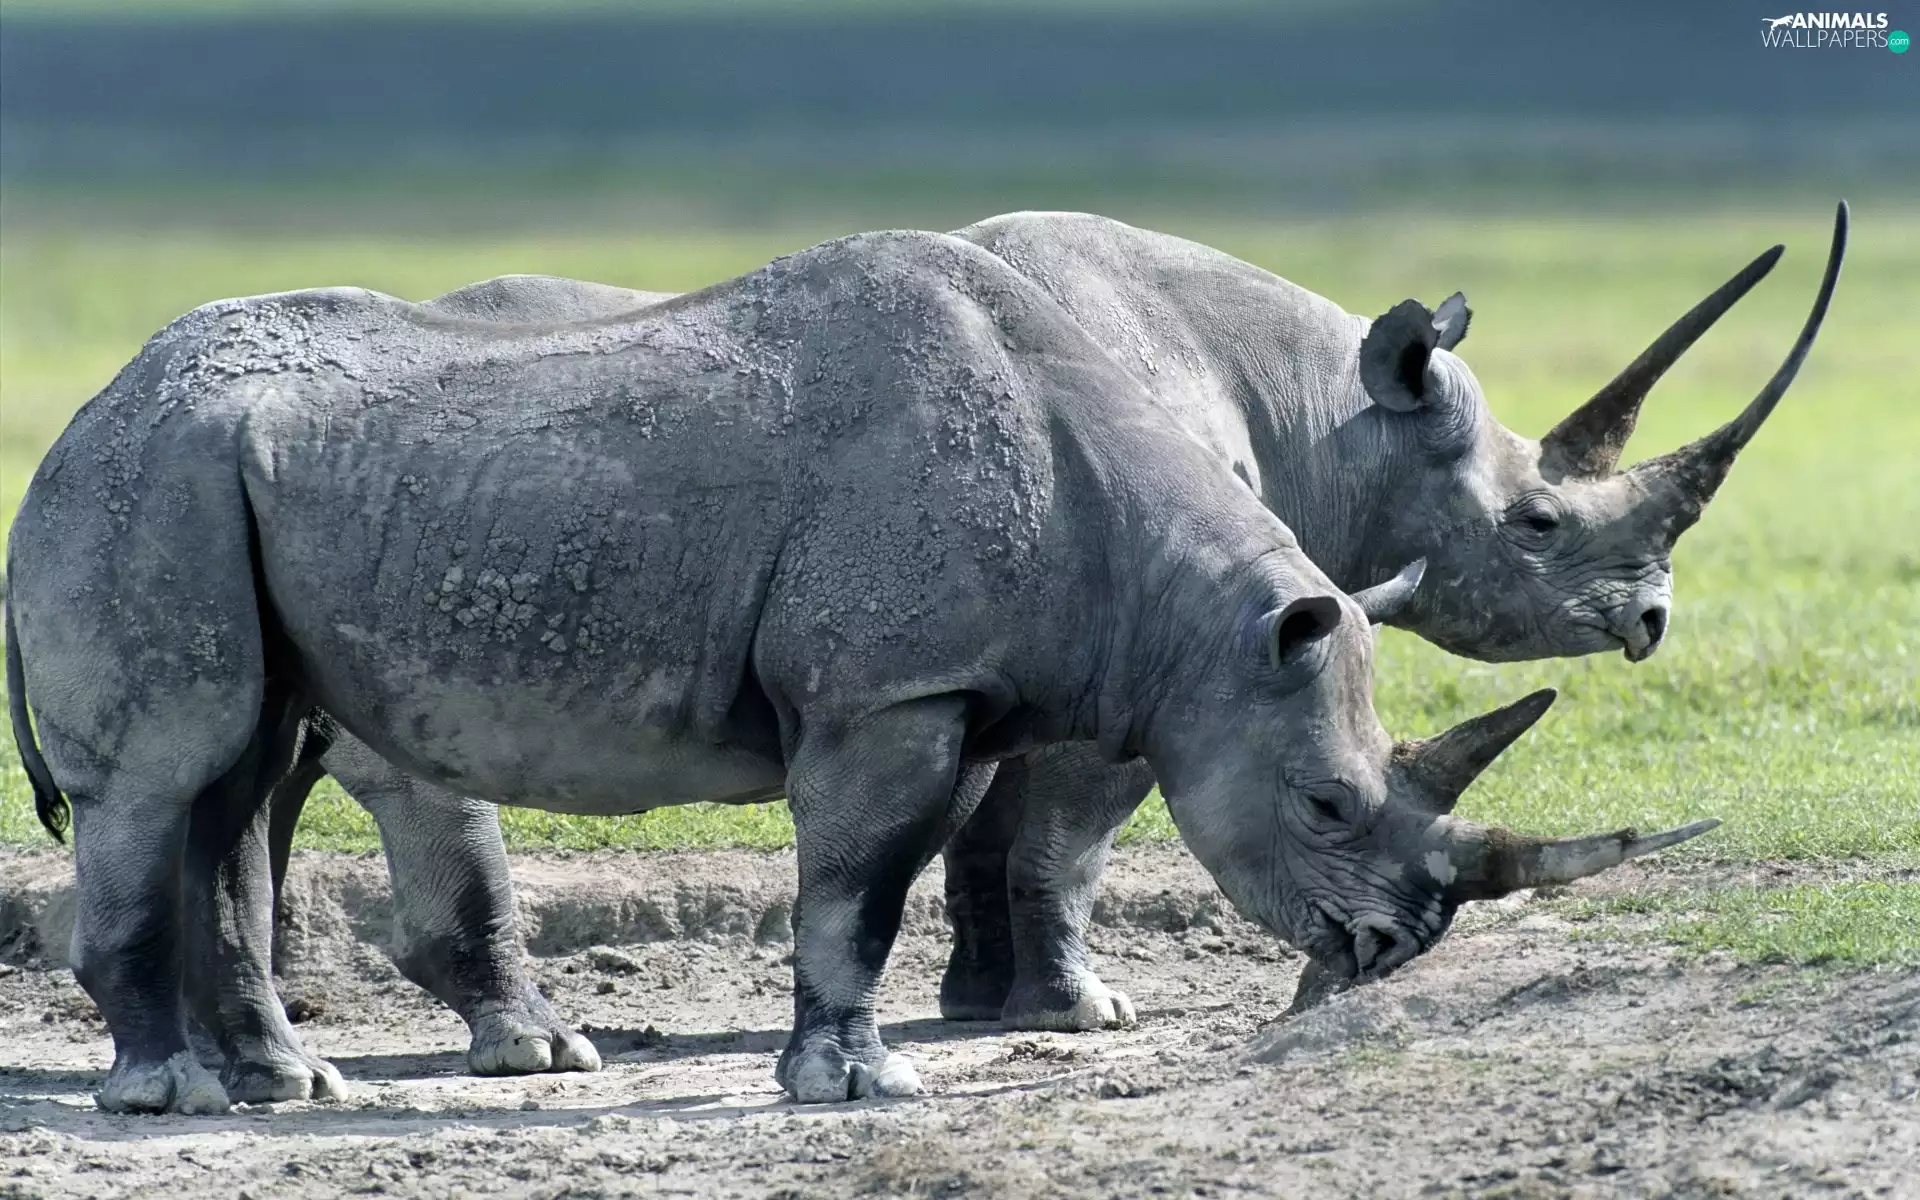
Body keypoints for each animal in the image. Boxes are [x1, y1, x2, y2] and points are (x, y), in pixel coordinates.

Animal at [5, 226, 1724, 1114]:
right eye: (1323, 807)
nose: (1395, 948)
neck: (1183, 605)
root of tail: (79, 415)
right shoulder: (886, 692)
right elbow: (862, 882)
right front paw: (859, 1085)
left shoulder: (964, 683)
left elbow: (909, 874)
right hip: (152, 477)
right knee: (169, 777)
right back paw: (172, 1098)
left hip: (222, 480)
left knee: (239, 780)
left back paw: (287, 1086)